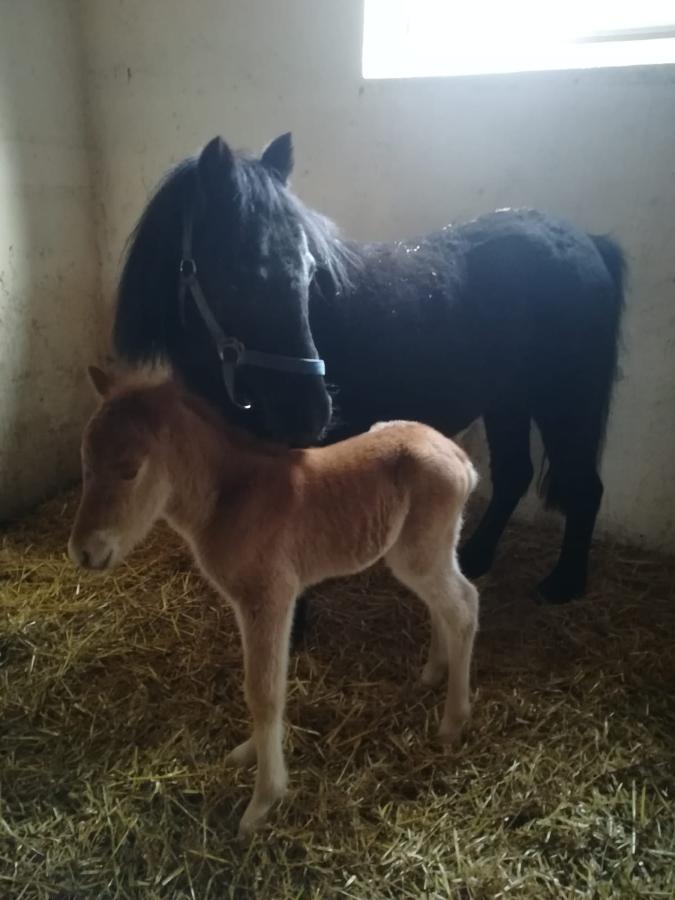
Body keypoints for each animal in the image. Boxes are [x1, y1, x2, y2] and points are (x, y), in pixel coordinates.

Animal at [68, 368, 480, 836]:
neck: (229, 499)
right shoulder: (254, 606)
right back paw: (432, 673)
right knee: (444, 604)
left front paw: (263, 800)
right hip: (423, 551)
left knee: (464, 606)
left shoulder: (269, 598)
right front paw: (248, 754)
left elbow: (263, 691)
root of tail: (460, 457)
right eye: (84, 462)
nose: (84, 552)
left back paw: (452, 721)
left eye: (129, 469)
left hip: (418, 554)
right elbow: (271, 683)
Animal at [113, 134, 624, 628]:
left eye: (309, 272)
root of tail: (587, 242)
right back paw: (477, 556)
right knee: (515, 473)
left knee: (586, 487)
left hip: (566, 402)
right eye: (236, 279)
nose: (313, 410)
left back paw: (564, 583)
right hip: (508, 401)